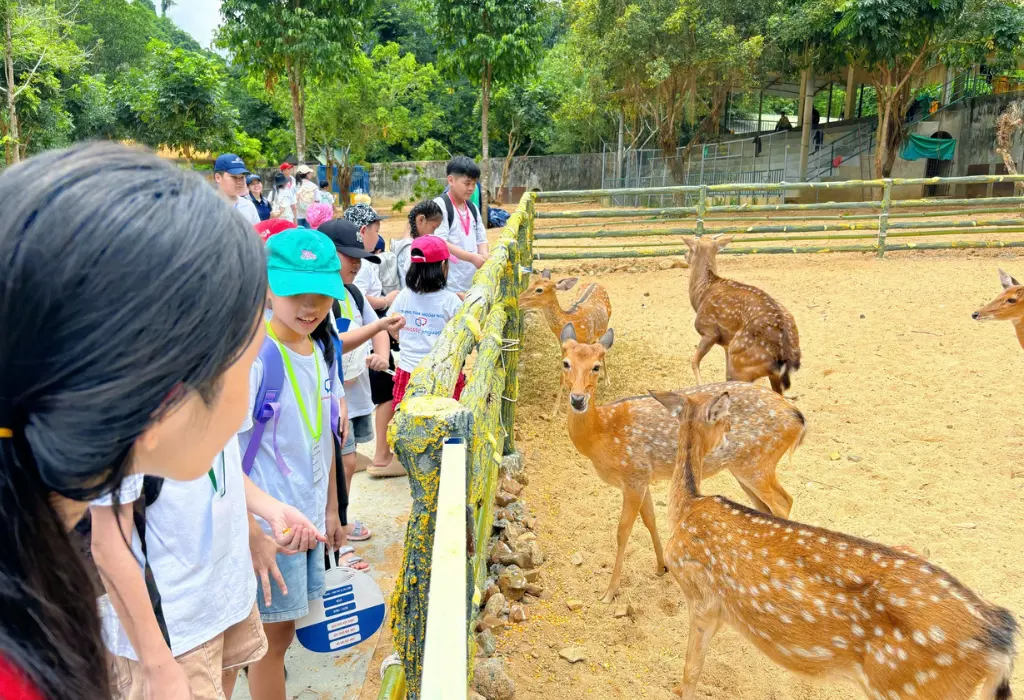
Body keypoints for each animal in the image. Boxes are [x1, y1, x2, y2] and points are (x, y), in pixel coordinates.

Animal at [524, 272, 610, 415]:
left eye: (539, 289)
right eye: (531, 284)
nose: (519, 301)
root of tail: (596, 283)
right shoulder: (563, 346)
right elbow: (563, 375)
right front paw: (554, 410)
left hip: (605, 325)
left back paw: (607, 381)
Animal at [561, 323, 806, 601]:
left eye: (596, 366)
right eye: (566, 362)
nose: (577, 399)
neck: (600, 433)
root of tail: (798, 419)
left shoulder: (633, 475)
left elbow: (623, 531)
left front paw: (609, 592)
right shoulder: (643, 477)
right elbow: (650, 520)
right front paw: (661, 567)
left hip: (758, 463)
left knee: (784, 501)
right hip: (743, 468)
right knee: (765, 508)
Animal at [655, 388, 1015, 700]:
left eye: (728, 420)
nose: (732, 436)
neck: (686, 508)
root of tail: (1000, 642)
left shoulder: (700, 595)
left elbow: (692, 666)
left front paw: (677, 690)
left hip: (907, 686)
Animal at [688, 236, 798, 392]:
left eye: (690, 249)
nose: (685, 255)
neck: (701, 295)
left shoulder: (709, 331)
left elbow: (694, 362)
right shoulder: (726, 343)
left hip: (741, 358)